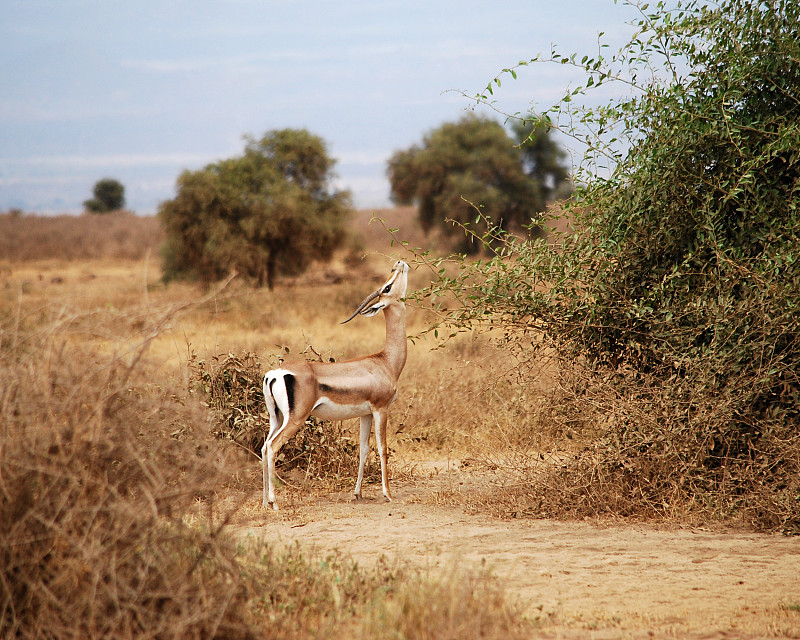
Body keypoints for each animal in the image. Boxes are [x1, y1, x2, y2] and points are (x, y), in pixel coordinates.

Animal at [262, 260, 410, 510]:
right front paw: (388, 494)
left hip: (276, 418)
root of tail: (275, 374)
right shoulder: (381, 409)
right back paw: (274, 503)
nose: (398, 263)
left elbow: (363, 449)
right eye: (387, 287)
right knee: (273, 447)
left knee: (264, 447)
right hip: (295, 419)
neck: (385, 361)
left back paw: (264, 501)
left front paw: (358, 493)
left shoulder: (365, 414)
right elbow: (383, 448)